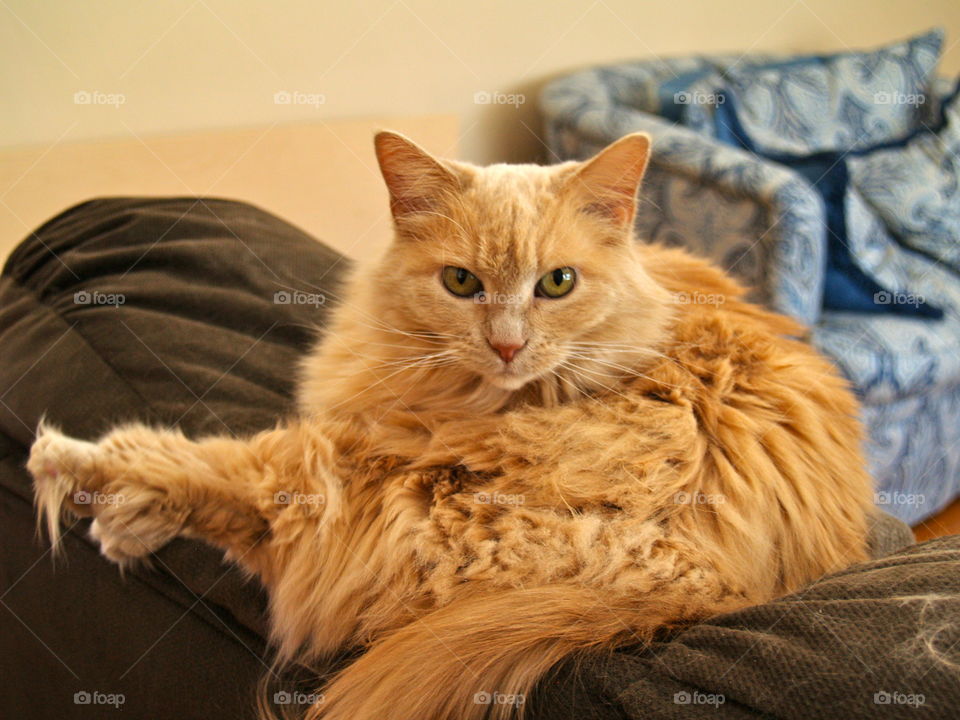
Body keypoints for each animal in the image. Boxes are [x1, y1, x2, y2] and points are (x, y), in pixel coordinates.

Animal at [28, 131, 872, 720]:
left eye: (557, 283)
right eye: (461, 281)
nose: (507, 344)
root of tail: (721, 581)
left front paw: (112, 505)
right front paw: (128, 526)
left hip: (393, 496)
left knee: (261, 515)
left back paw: (69, 463)